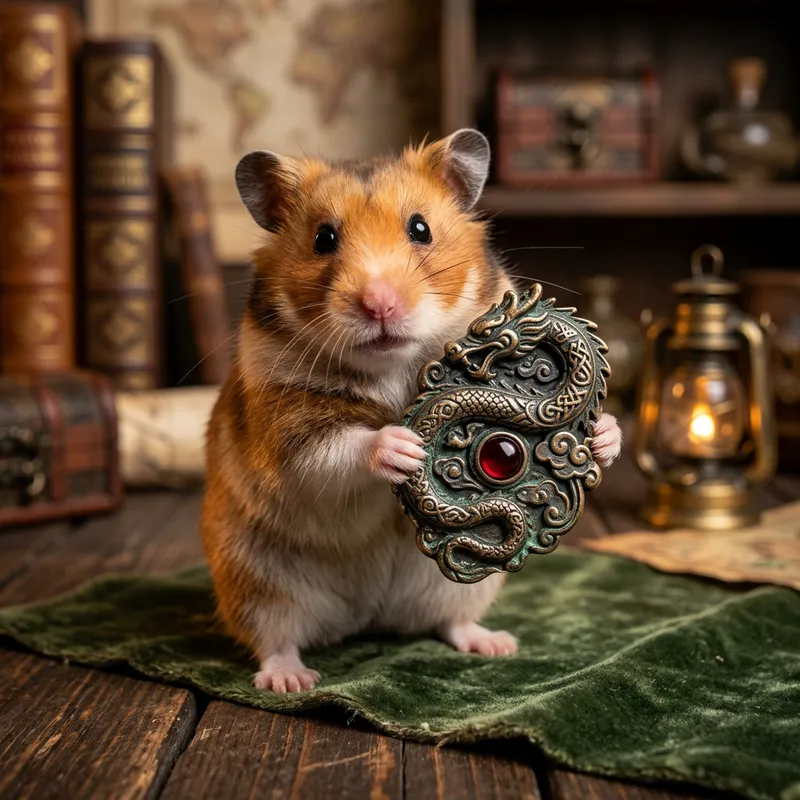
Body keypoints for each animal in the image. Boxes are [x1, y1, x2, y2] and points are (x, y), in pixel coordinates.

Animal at [201, 128, 623, 693]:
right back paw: (291, 680)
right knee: (274, 638)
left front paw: (602, 435)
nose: (380, 304)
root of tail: (366, 617)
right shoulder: (285, 423)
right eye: (323, 239)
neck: (397, 367)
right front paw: (404, 447)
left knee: (451, 621)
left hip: (463, 588)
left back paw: (497, 645)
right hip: (255, 580)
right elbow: (334, 449)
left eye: (420, 228)